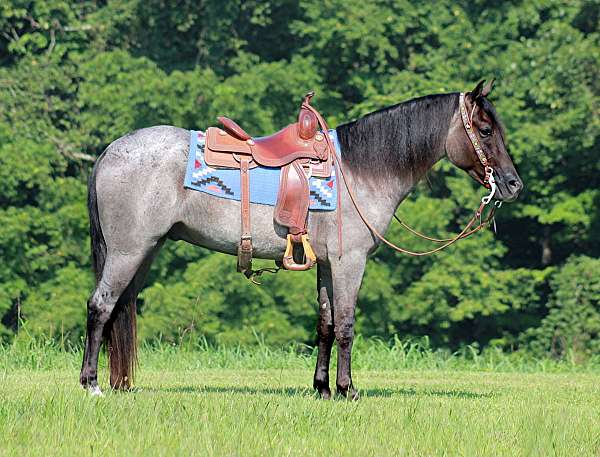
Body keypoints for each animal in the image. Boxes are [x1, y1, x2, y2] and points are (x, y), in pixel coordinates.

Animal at [78, 81, 520, 396]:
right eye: (484, 129)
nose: (513, 184)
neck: (360, 171)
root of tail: (110, 151)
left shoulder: (325, 264)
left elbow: (325, 324)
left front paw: (322, 388)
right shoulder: (349, 262)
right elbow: (346, 324)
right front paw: (348, 390)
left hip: (144, 252)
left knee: (118, 310)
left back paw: (116, 384)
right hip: (128, 251)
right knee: (101, 306)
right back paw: (92, 384)